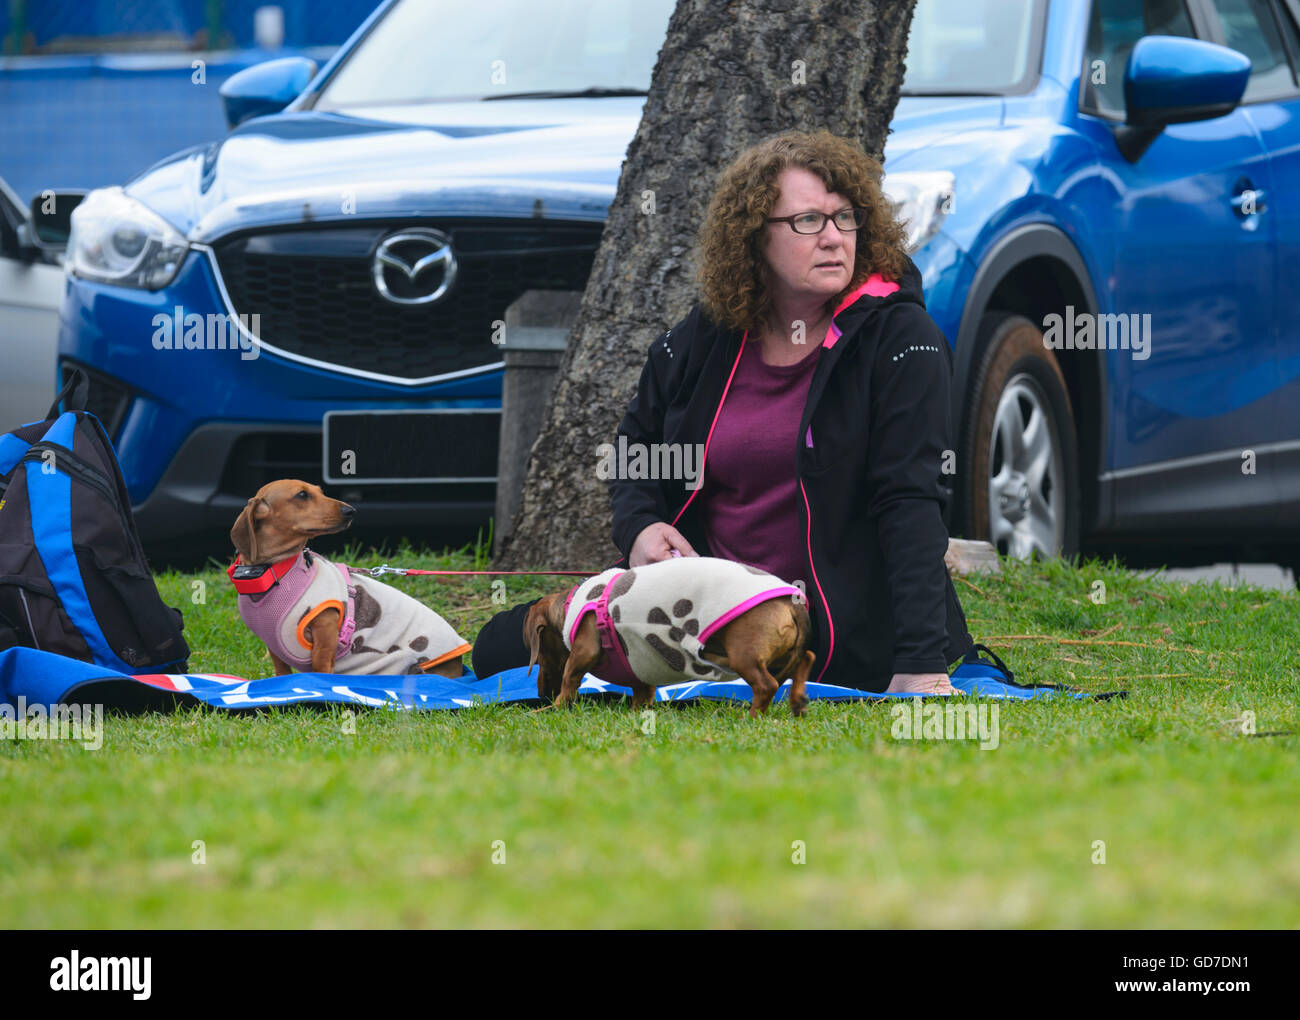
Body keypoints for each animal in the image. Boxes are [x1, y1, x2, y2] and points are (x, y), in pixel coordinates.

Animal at [230, 478, 473, 675]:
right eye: (302, 495)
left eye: (320, 491)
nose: (351, 511)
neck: (277, 572)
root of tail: (458, 665)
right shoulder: (274, 646)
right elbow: (281, 671)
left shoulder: (325, 632)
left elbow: (321, 668)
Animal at [520, 556, 811, 717]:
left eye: (539, 650)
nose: (542, 693)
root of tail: (791, 601)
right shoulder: (641, 671)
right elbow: (641, 696)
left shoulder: (583, 653)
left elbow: (569, 681)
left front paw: (550, 708)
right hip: (779, 655)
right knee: (805, 658)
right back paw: (797, 702)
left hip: (745, 655)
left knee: (766, 685)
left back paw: (750, 717)